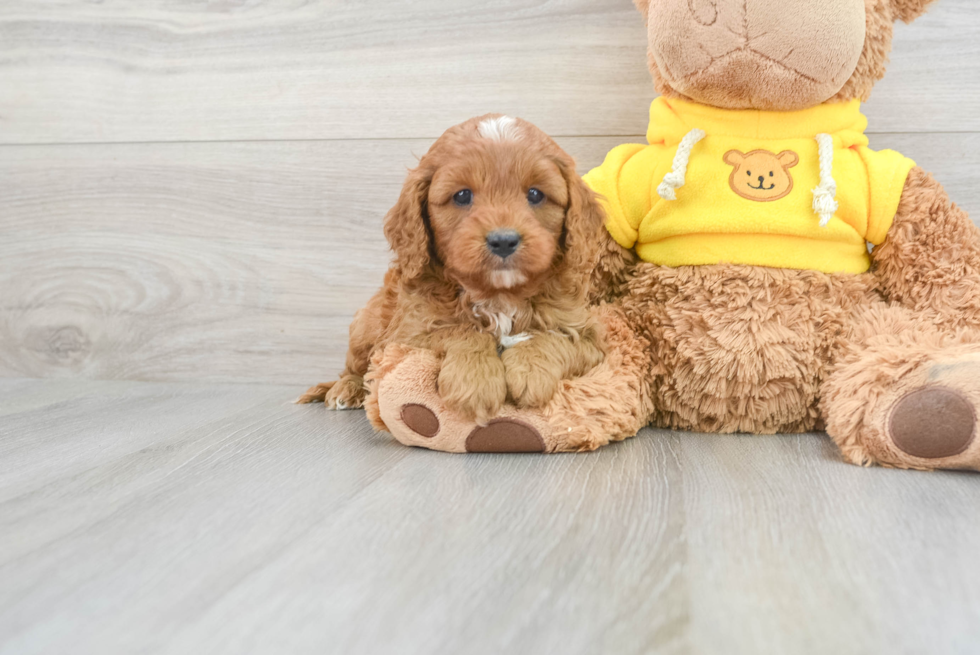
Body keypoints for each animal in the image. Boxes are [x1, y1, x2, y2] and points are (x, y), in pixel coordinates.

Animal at [298, 114, 604, 422]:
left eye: (535, 194)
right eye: (462, 196)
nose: (503, 241)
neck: (498, 293)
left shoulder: (589, 336)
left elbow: (556, 338)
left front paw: (531, 370)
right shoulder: (404, 336)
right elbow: (460, 331)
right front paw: (476, 382)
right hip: (367, 325)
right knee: (355, 368)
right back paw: (345, 389)